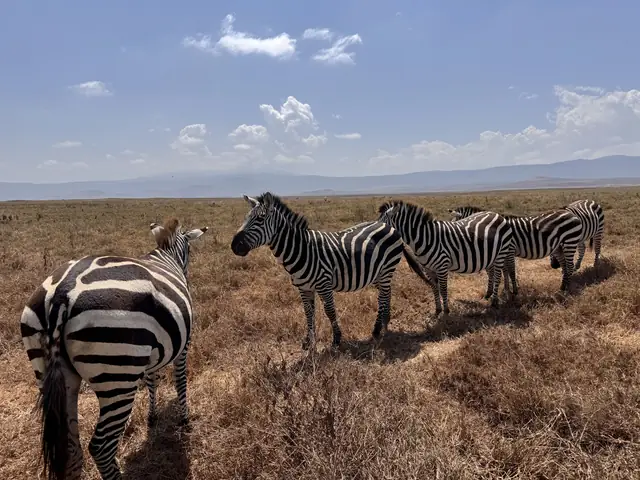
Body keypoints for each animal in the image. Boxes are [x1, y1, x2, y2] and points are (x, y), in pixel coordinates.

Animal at [20, 218, 208, 480]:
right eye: (190, 252)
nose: (187, 277)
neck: (165, 255)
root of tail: (62, 294)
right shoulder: (183, 346)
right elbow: (180, 381)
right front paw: (184, 419)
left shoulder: (152, 353)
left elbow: (152, 381)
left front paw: (152, 416)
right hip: (118, 377)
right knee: (101, 448)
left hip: (53, 372)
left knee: (72, 449)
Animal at [230, 192, 435, 349]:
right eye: (246, 218)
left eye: (260, 218)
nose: (234, 245)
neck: (303, 249)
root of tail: (388, 225)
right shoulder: (303, 287)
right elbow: (308, 312)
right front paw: (308, 341)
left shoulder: (324, 283)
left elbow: (330, 311)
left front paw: (336, 339)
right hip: (378, 273)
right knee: (387, 294)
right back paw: (385, 321)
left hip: (387, 269)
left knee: (383, 298)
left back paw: (377, 330)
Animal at [378, 200, 515, 315]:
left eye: (382, 223)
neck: (426, 238)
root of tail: (497, 214)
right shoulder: (428, 269)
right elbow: (434, 288)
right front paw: (438, 310)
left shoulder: (442, 266)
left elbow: (443, 289)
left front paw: (446, 311)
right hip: (490, 255)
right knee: (492, 272)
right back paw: (489, 295)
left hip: (501, 252)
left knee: (498, 275)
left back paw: (495, 302)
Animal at [448, 205, 583, 292]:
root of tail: (573, 214)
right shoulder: (503, 252)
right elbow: (505, 271)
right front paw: (506, 290)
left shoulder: (509, 250)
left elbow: (510, 270)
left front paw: (513, 291)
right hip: (559, 246)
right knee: (564, 265)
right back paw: (563, 287)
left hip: (570, 241)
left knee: (570, 265)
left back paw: (568, 288)